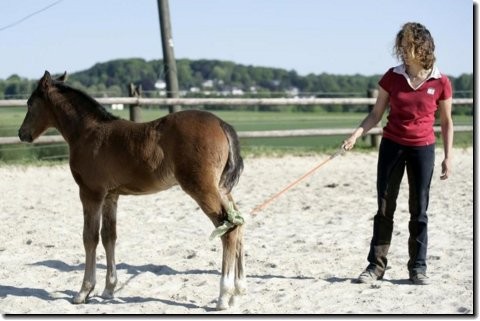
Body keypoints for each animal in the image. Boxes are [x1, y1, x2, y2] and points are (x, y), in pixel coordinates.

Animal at [17, 71, 246, 308]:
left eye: (30, 103)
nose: (22, 133)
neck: (87, 132)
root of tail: (221, 123)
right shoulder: (111, 195)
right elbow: (109, 236)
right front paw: (109, 289)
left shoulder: (90, 192)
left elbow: (90, 237)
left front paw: (84, 291)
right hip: (221, 189)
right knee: (239, 224)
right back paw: (238, 291)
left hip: (201, 188)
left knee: (229, 229)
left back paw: (224, 296)